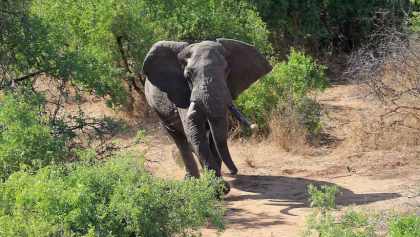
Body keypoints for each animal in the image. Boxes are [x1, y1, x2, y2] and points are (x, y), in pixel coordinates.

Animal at [142, 38, 272, 183]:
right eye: (188, 75)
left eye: (227, 71)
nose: (234, 171)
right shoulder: (182, 91)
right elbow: (194, 131)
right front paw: (219, 186)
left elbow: (214, 134)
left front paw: (215, 178)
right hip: (157, 110)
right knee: (180, 139)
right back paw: (191, 179)